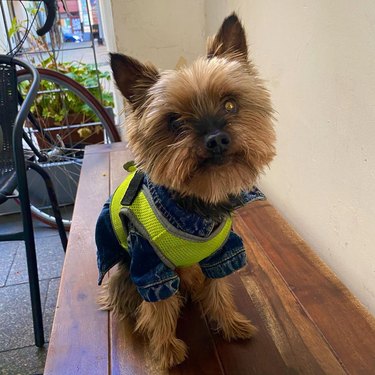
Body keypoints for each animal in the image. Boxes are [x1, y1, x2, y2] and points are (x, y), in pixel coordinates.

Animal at [95, 12, 274, 370]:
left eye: (230, 104)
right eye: (174, 122)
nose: (217, 139)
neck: (196, 205)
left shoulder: (221, 251)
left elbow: (218, 288)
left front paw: (230, 324)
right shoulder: (149, 264)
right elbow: (159, 308)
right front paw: (166, 351)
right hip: (124, 271)